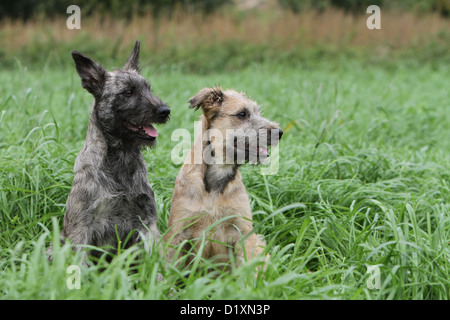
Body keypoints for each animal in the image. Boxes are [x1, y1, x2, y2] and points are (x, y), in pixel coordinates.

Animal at [59, 40, 171, 260]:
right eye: (128, 92)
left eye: (149, 89)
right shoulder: (81, 227)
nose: (164, 111)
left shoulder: (147, 223)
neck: (122, 158)